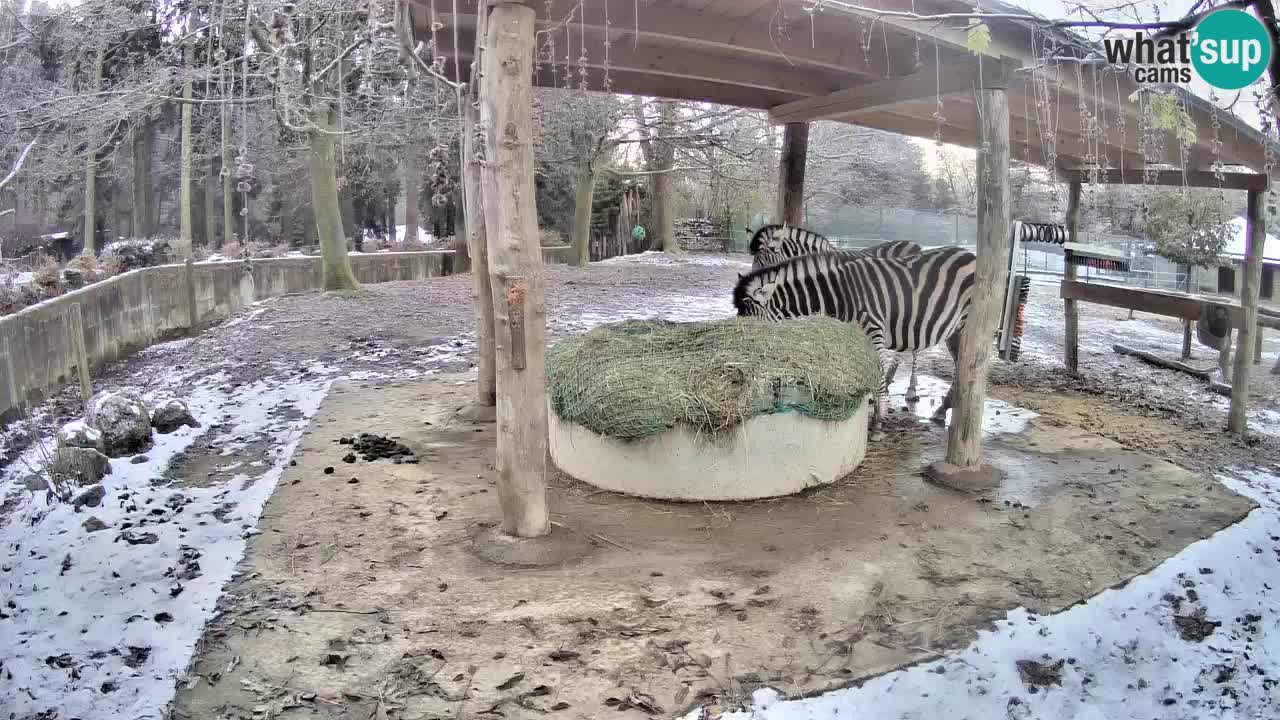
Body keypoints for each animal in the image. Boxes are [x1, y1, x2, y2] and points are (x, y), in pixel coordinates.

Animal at [737, 245, 972, 435]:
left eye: (752, 326)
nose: (744, 368)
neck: (839, 296)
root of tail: (969, 254)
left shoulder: (874, 330)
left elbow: (878, 376)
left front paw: (878, 423)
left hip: (964, 326)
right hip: (954, 332)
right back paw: (941, 410)